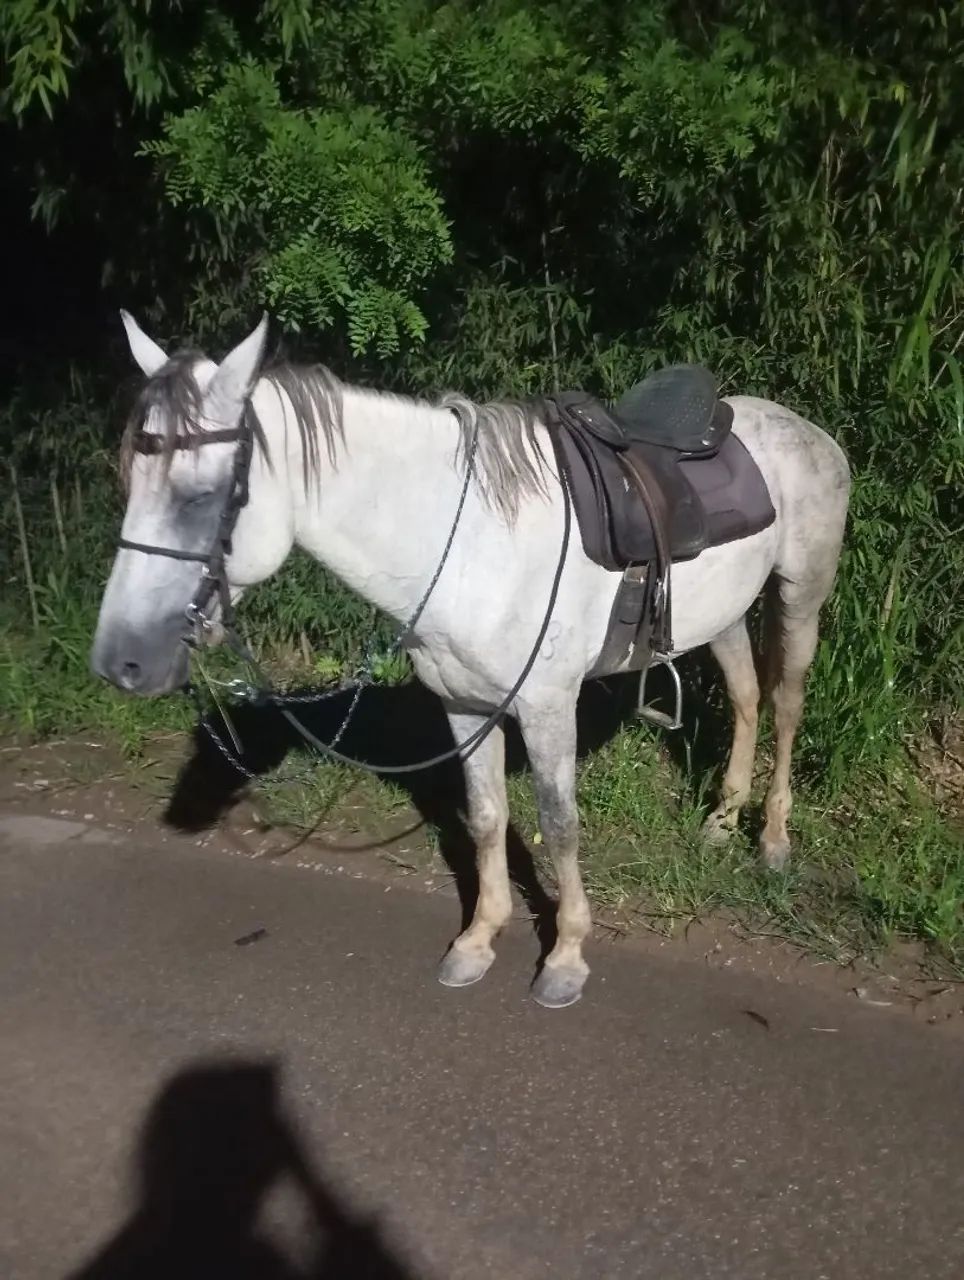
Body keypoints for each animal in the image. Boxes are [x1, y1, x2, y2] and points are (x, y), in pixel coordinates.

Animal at [91, 313, 850, 1008]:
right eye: (130, 480)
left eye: (202, 497)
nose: (120, 662)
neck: (468, 544)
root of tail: (806, 431)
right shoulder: (464, 705)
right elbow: (486, 817)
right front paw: (479, 941)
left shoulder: (547, 707)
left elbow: (559, 825)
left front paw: (566, 957)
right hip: (722, 613)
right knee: (746, 698)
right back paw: (722, 823)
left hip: (799, 596)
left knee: (785, 706)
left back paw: (772, 841)